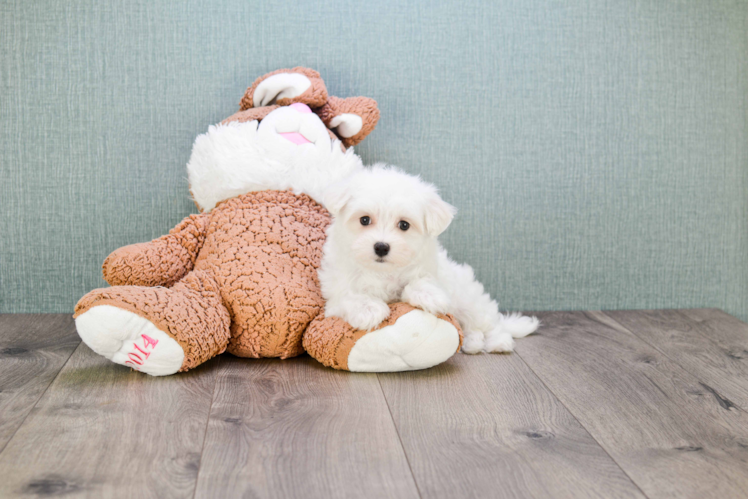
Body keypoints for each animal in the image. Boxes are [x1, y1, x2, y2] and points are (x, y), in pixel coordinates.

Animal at [318, 166, 540, 354]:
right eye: (364, 220)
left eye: (404, 225)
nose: (381, 247)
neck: (382, 271)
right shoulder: (336, 292)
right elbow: (350, 296)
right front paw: (369, 309)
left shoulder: (431, 271)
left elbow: (421, 281)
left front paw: (429, 296)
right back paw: (473, 343)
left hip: (469, 299)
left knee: (488, 323)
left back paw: (497, 342)